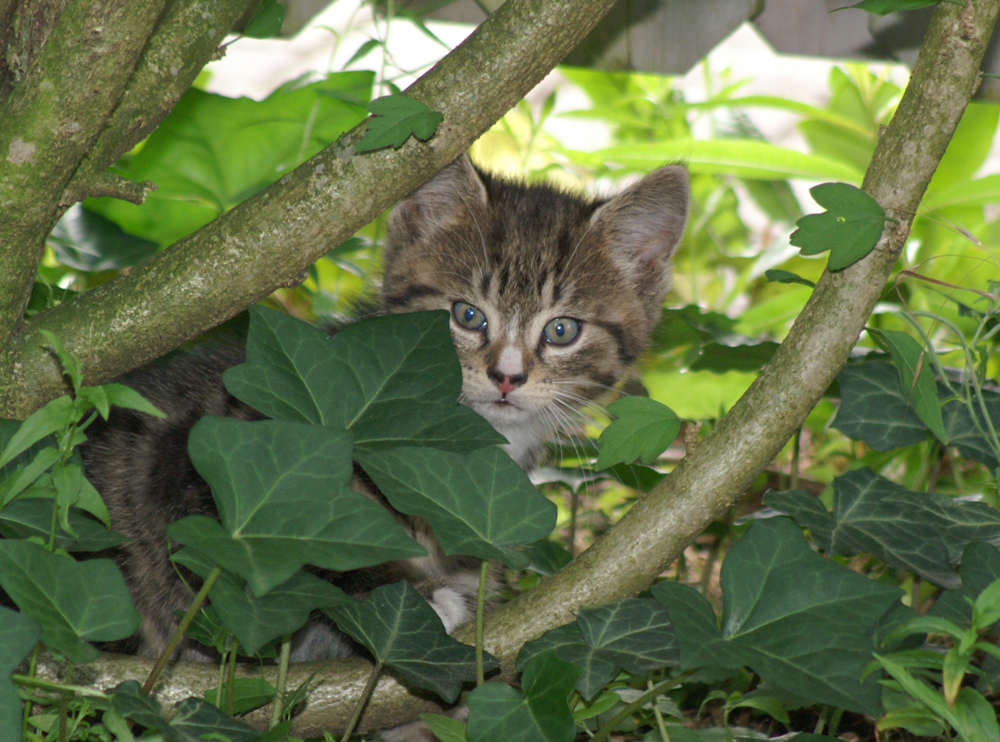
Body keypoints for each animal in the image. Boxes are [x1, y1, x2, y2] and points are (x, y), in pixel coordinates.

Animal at [80, 154, 688, 664]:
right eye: (467, 316)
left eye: (562, 331)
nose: (507, 377)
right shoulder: (204, 461)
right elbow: (288, 544)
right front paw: (409, 600)